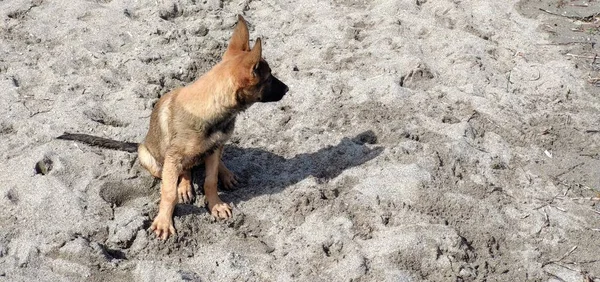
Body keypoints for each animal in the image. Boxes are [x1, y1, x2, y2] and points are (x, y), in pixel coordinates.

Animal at [58, 15, 288, 239]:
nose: (287, 89)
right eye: (269, 78)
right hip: (150, 158)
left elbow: (210, 180)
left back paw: (225, 173)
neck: (209, 107)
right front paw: (164, 221)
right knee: (180, 173)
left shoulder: (214, 149)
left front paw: (215, 205)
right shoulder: (173, 157)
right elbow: (168, 192)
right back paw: (184, 186)